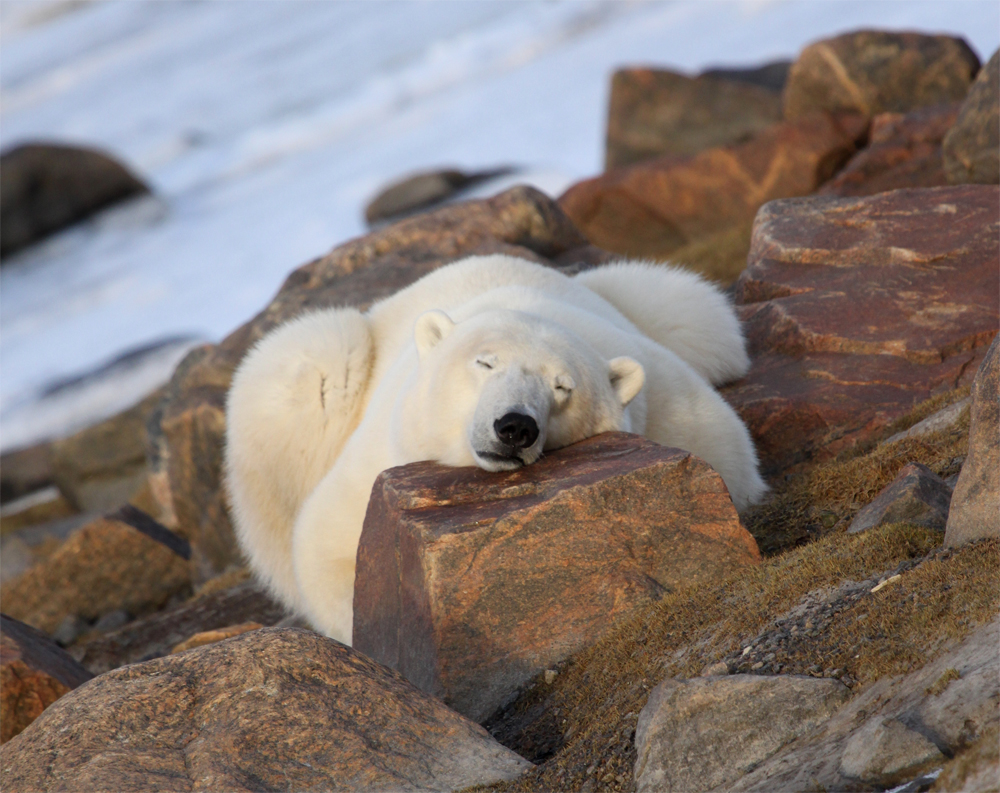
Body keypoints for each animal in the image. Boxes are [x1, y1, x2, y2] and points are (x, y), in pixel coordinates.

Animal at [225, 254, 767, 643]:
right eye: (484, 363)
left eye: (562, 387)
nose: (515, 426)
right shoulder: (380, 456)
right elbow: (328, 549)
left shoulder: (673, 402)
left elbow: (728, 458)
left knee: (695, 311)